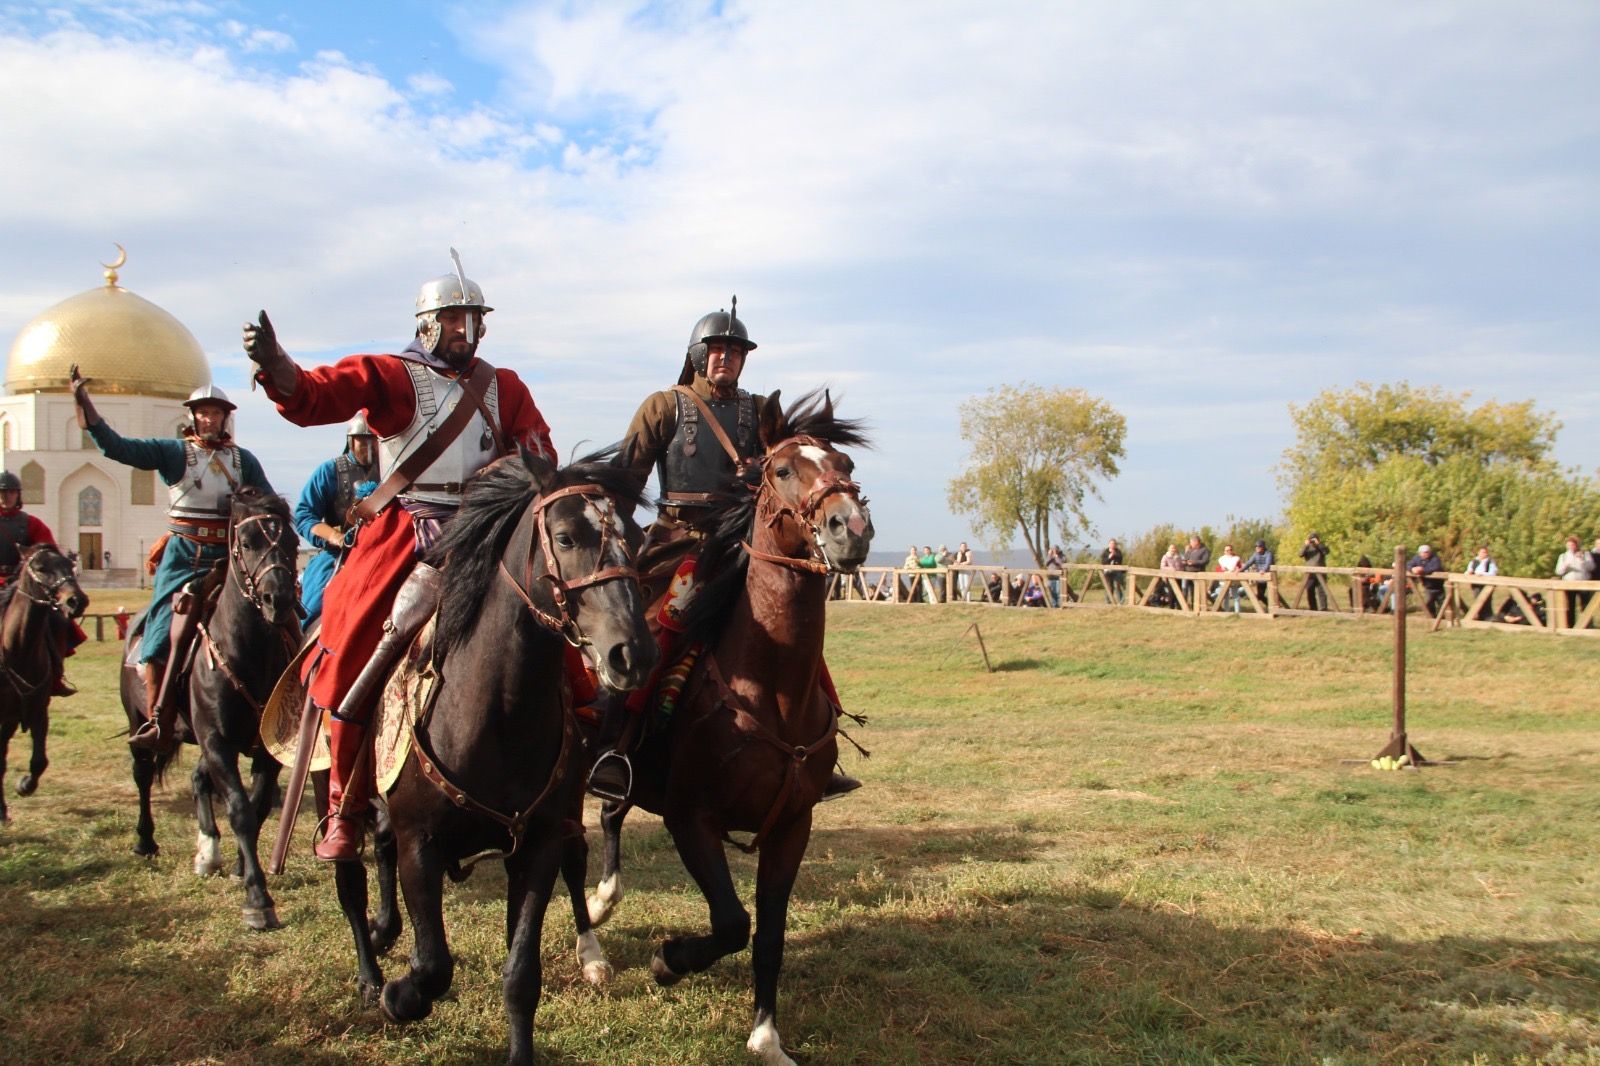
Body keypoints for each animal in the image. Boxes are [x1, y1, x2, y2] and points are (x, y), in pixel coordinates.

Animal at [0, 544, 87, 816]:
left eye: (69, 564)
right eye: (40, 568)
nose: (77, 601)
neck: (17, 649)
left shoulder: (37, 709)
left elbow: (39, 761)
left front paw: (25, 785)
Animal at [118, 486, 300, 928]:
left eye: (291, 542)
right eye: (247, 543)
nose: (279, 599)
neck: (246, 654)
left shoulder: (262, 749)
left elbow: (256, 808)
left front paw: (240, 867)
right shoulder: (217, 741)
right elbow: (239, 809)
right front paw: (257, 898)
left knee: (198, 780)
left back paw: (208, 852)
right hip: (141, 725)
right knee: (143, 776)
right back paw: (145, 841)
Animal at [328, 451, 659, 1062]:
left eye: (637, 537)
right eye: (565, 536)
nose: (633, 654)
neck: (492, 713)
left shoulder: (536, 844)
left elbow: (520, 976)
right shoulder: (421, 844)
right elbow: (433, 966)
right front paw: (398, 995)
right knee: (349, 878)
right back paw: (369, 974)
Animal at [582, 390, 876, 1062]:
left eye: (845, 462)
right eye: (783, 469)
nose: (851, 529)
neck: (770, 690)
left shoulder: (792, 827)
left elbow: (768, 935)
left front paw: (766, 1036)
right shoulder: (691, 819)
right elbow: (733, 922)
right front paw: (669, 960)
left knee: (611, 812)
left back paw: (604, 901)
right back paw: (595, 937)